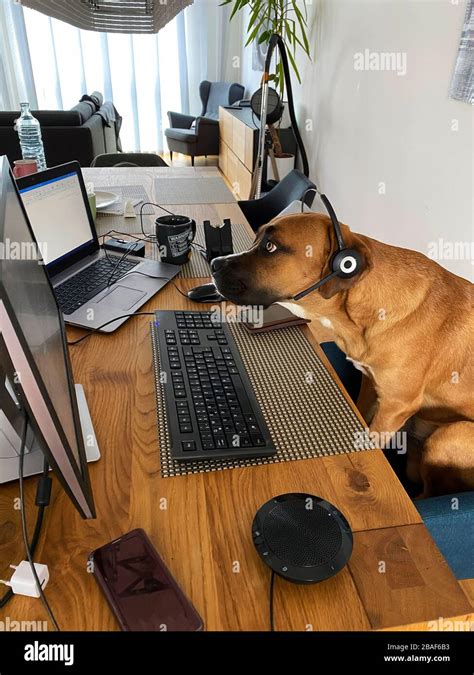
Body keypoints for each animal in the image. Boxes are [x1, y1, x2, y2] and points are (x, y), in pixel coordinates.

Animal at [212, 214, 474, 500]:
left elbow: (372, 435)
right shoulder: (370, 383)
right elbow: (361, 410)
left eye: (270, 247)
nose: (213, 264)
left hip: (450, 435)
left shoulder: (395, 406)